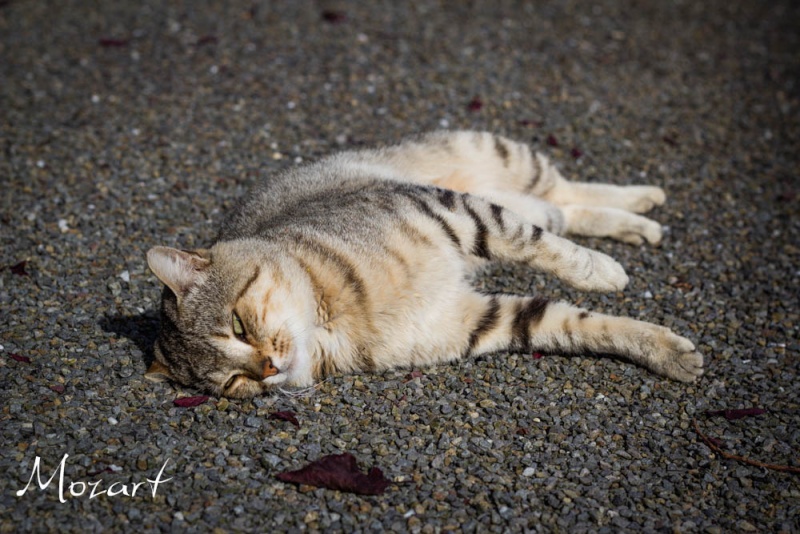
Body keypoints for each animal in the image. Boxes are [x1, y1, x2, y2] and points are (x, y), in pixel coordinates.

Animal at [142, 130, 700, 398]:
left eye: (237, 326)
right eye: (234, 384)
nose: (269, 370)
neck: (327, 320)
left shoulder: (457, 213)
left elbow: (538, 246)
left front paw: (603, 272)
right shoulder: (481, 320)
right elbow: (583, 325)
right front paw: (667, 352)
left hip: (498, 156)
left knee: (559, 195)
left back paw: (641, 203)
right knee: (560, 209)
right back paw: (638, 223)